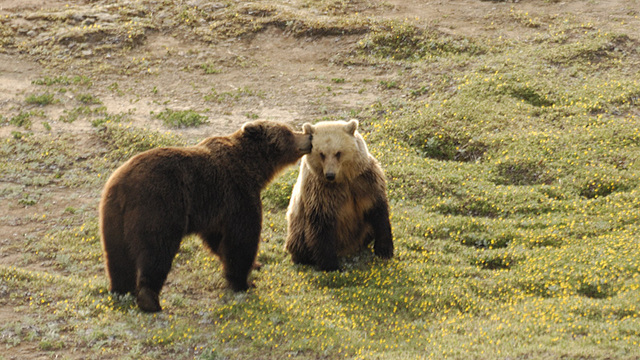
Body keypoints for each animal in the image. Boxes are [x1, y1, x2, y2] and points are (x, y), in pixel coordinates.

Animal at [100, 120, 312, 312]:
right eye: (288, 132)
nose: (308, 136)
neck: (254, 167)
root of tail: (123, 186)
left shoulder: (214, 211)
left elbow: (217, 240)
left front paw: (254, 265)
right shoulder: (238, 194)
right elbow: (241, 239)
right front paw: (243, 282)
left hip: (113, 216)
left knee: (118, 256)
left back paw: (120, 290)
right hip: (159, 206)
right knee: (156, 251)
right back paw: (149, 300)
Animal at [286, 119, 396, 272]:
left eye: (338, 153)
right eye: (321, 154)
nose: (330, 175)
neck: (343, 179)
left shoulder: (364, 181)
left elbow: (378, 211)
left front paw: (384, 250)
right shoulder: (320, 190)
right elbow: (322, 225)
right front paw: (330, 265)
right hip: (297, 229)